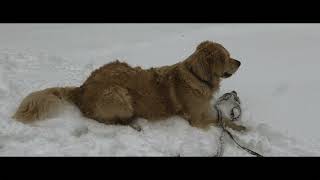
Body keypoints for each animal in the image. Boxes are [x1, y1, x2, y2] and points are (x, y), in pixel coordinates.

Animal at [11, 40, 244, 131]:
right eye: (226, 57)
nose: (240, 62)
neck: (197, 76)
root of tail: (82, 88)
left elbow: (222, 118)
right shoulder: (198, 118)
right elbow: (223, 121)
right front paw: (242, 127)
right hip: (118, 94)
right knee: (108, 120)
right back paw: (134, 123)